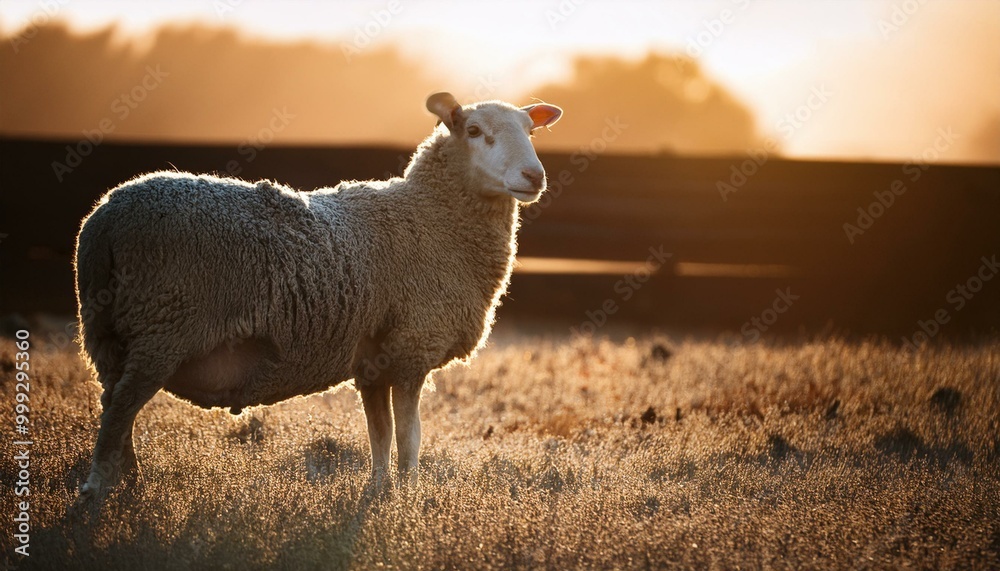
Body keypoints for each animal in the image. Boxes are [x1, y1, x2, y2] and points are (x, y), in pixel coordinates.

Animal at [73, 92, 563, 504]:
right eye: (475, 131)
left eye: (531, 130)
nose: (534, 176)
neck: (431, 217)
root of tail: (104, 219)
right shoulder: (412, 349)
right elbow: (410, 436)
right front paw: (410, 495)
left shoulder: (373, 362)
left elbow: (380, 433)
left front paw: (380, 490)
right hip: (162, 326)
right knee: (119, 411)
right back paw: (97, 491)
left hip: (110, 333)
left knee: (114, 406)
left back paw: (131, 483)